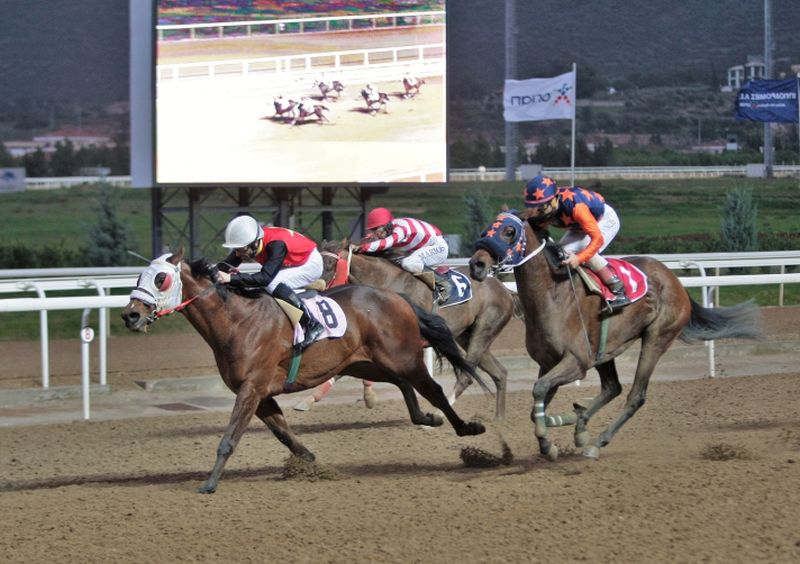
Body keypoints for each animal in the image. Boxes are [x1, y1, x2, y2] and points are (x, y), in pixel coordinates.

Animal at [121, 249, 487, 493]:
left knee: (433, 390)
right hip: (365, 362)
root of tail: (395, 296)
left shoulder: (252, 388)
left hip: (402, 356)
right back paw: (426, 418)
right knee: (401, 383)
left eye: (161, 278)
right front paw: (309, 461)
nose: (130, 315)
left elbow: (229, 438)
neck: (239, 321)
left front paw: (209, 484)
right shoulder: (261, 393)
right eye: (138, 277)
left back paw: (467, 427)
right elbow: (283, 432)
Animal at [305, 240, 523, 419]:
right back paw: (499, 420)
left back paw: (438, 416)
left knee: (467, 376)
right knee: (500, 373)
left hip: (484, 329)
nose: (313, 292)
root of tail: (505, 290)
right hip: (466, 335)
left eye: (330, 264)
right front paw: (308, 400)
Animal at [469, 211, 763, 461]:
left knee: (635, 395)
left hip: (656, 338)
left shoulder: (577, 362)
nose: (476, 264)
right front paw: (566, 422)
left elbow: (539, 390)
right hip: (605, 349)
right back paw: (580, 424)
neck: (553, 294)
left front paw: (548, 441)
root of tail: (674, 280)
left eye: (508, 231)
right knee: (613, 387)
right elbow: (535, 406)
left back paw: (596, 442)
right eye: (485, 230)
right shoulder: (549, 362)